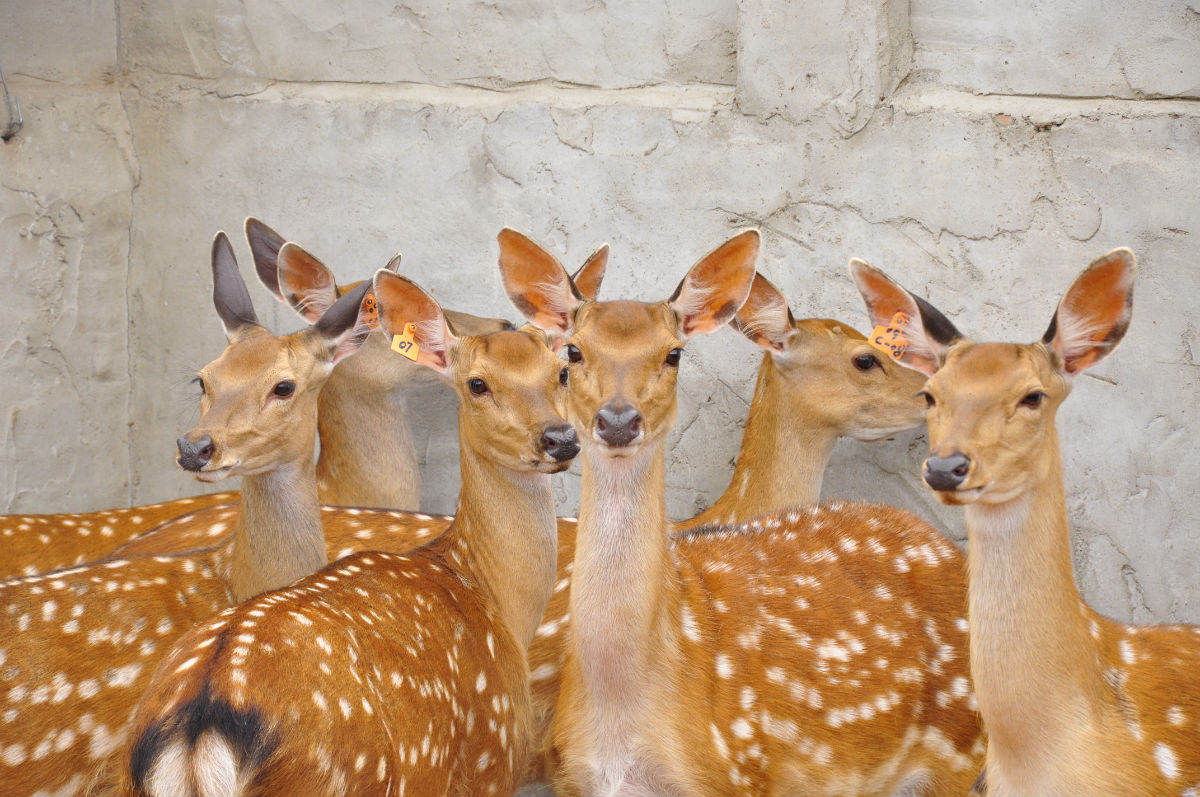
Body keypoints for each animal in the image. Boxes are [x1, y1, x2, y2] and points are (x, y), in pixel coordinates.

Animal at [116, 268, 578, 797]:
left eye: (561, 371)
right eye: (477, 383)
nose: (560, 438)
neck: (490, 594)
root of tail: (200, 725)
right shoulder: (491, 764)